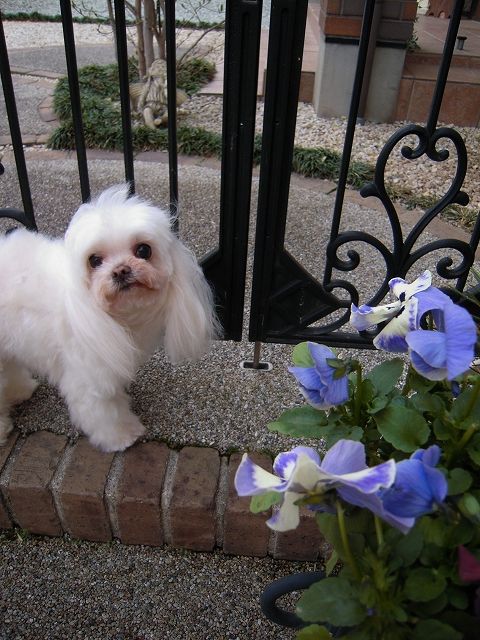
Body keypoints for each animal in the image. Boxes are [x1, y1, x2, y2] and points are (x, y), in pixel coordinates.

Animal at [0, 185, 219, 452]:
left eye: (143, 250)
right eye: (94, 260)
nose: (121, 270)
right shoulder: (89, 373)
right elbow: (105, 411)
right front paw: (122, 435)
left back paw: (19, 390)